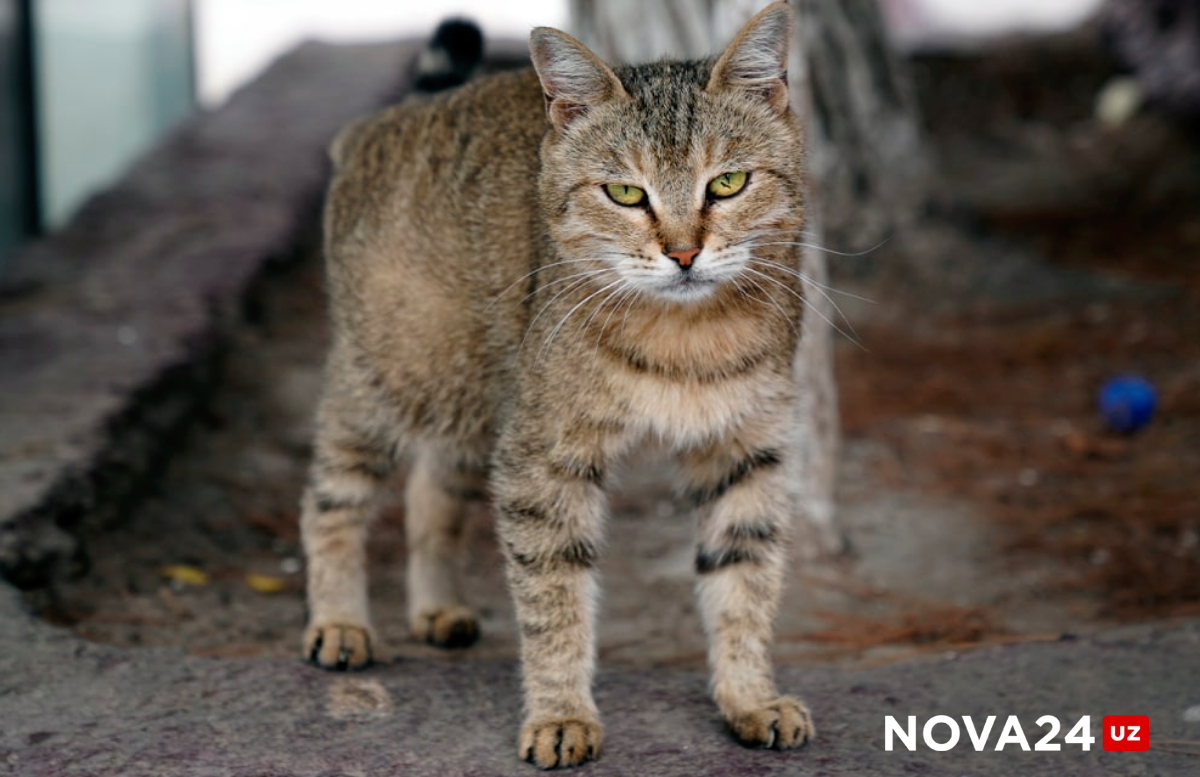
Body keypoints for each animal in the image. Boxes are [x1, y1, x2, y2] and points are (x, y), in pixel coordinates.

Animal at [304, 3, 820, 767]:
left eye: (727, 183)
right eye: (625, 193)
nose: (684, 253)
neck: (688, 336)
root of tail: (390, 117)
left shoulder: (744, 453)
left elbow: (744, 582)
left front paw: (748, 697)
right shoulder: (543, 461)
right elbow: (555, 602)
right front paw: (561, 713)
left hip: (480, 398)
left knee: (433, 485)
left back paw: (436, 605)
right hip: (388, 381)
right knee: (330, 497)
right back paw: (338, 620)